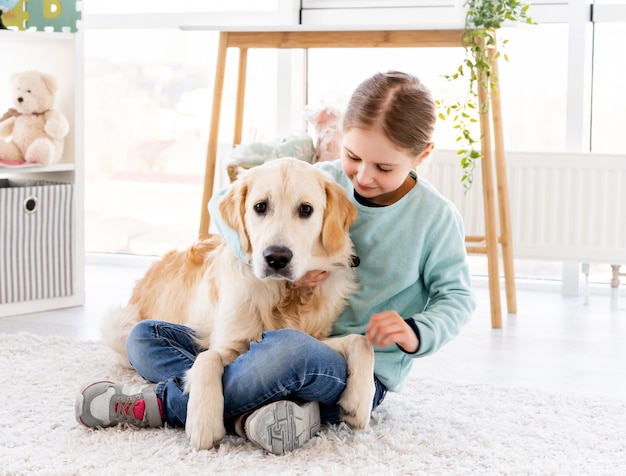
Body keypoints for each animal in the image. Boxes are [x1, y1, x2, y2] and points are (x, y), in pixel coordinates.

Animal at [102, 158, 372, 452]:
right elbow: (206, 359)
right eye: (260, 206)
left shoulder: (314, 337)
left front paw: (359, 403)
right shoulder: (227, 342)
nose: (276, 258)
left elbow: (362, 341)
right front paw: (203, 422)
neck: (284, 294)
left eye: (306, 210)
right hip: (121, 325)